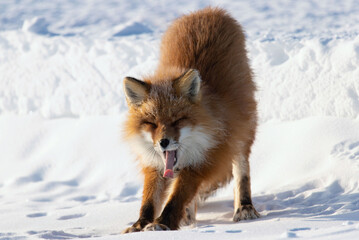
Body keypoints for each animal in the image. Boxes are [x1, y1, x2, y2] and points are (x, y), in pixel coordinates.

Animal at [122, 7, 260, 232]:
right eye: (152, 123)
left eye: (178, 120)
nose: (164, 142)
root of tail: (208, 10)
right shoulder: (154, 162)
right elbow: (150, 200)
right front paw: (140, 225)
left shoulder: (203, 159)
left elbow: (176, 198)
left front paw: (162, 224)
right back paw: (188, 216)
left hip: (242, 130)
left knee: (242, 172)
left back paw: (245, 208)